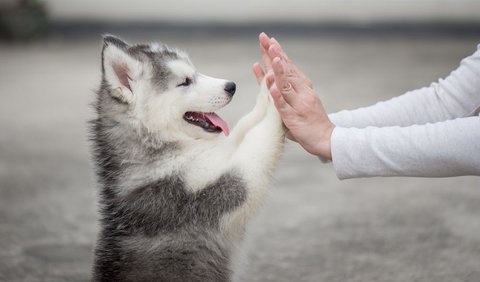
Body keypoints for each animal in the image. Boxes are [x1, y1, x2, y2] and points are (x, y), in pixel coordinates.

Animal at [90, 35, 284, 282]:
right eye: (184, 82)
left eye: (195, 72)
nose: (231, 86)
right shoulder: (214, 190)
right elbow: (257, 141)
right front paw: (278, 97)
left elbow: (243, 128)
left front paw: (268, 87)